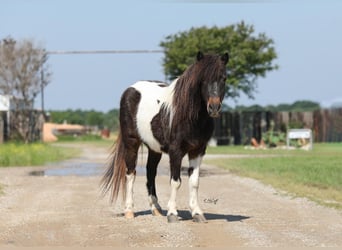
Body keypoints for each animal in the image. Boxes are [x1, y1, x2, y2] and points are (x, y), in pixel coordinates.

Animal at [101, 51, 230, 223]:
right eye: (202, 79)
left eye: (224, 78)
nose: (214, 107)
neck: (188, 115)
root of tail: (130, 89)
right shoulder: (176, 151)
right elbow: (175, 181)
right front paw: (173, 214)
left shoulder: (198, 150)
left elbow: (194, 181)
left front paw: (197, 213)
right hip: (131, 143)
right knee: (131, 173)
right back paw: (129, 211)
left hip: (154, 148)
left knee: (150, 172)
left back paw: (156, 208)